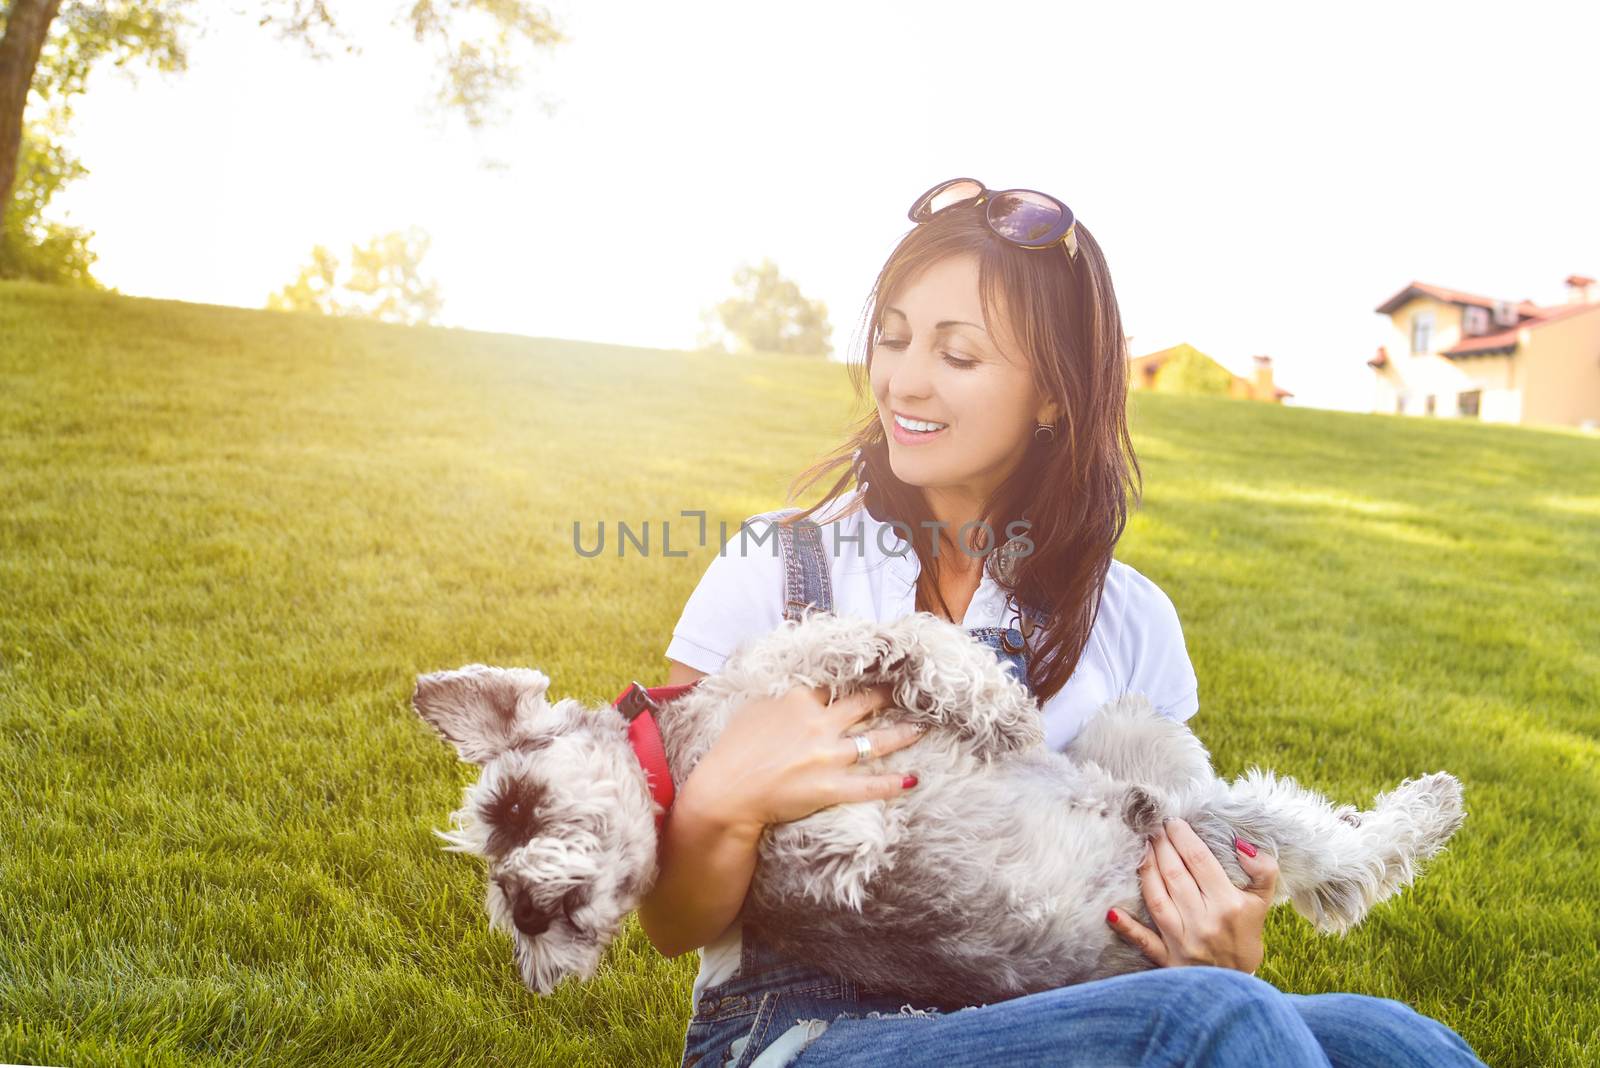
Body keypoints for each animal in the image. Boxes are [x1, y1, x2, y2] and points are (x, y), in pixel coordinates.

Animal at [409, 607, 1465, 1004]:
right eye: (498, 850)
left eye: (515, 809)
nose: (526, 919)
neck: (679, 759)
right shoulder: (803, 830)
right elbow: (840, 825)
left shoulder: (798, 673)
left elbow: (890, 639)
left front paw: (990, 702)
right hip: (1204, 819)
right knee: (1340, 864)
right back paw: (1426, 809)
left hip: (1150, 749)